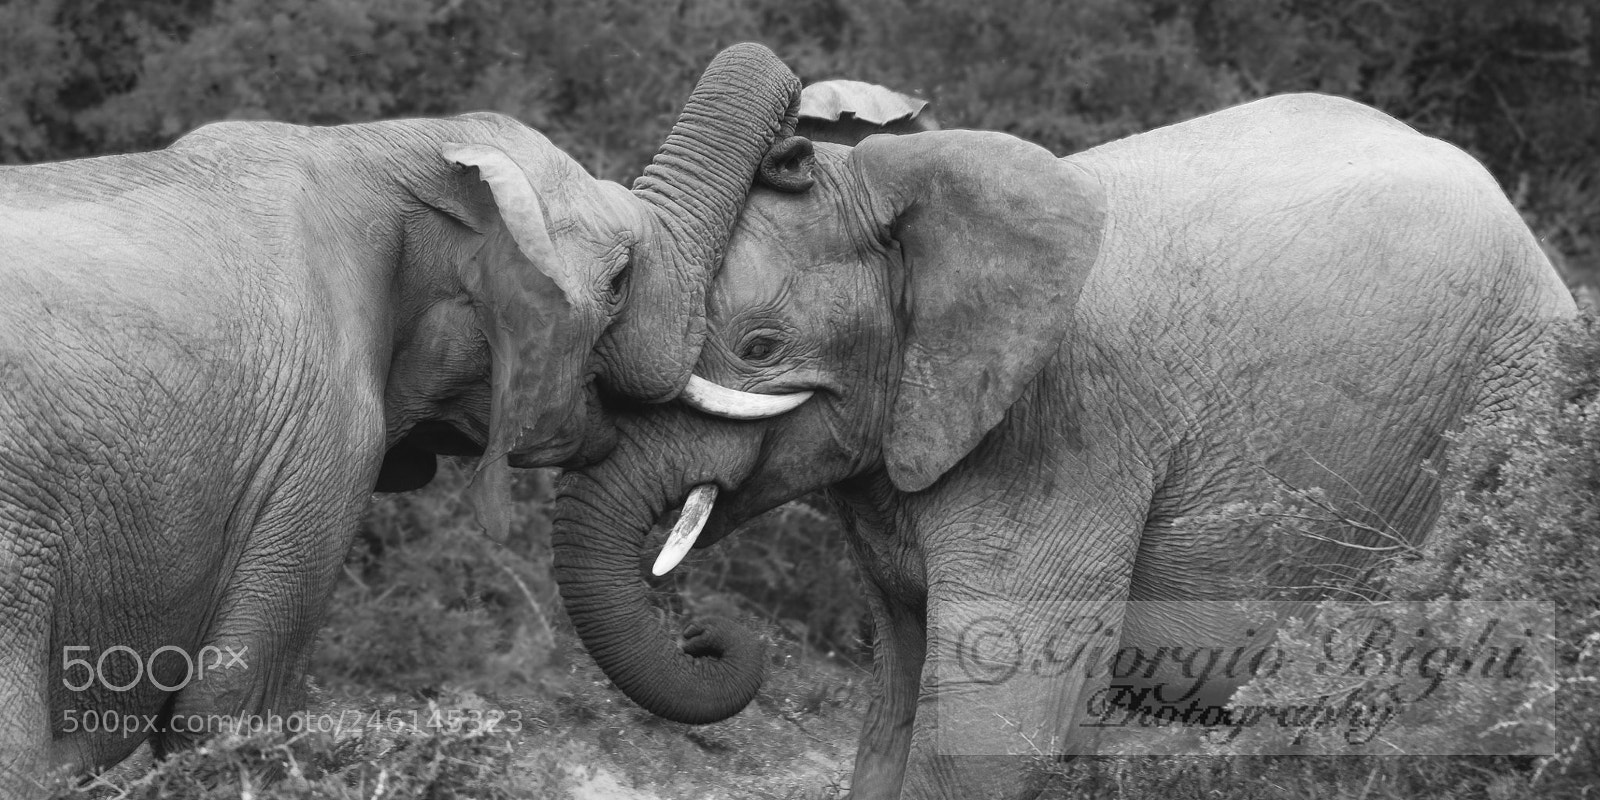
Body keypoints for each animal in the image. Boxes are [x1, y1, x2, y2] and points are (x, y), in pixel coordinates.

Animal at [548, 93, 1577, 799]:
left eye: (759, 349)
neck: (908, 178)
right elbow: (891, 717)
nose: (709, 634)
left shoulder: (1067, 436)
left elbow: (987, 736)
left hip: (1500, 409)